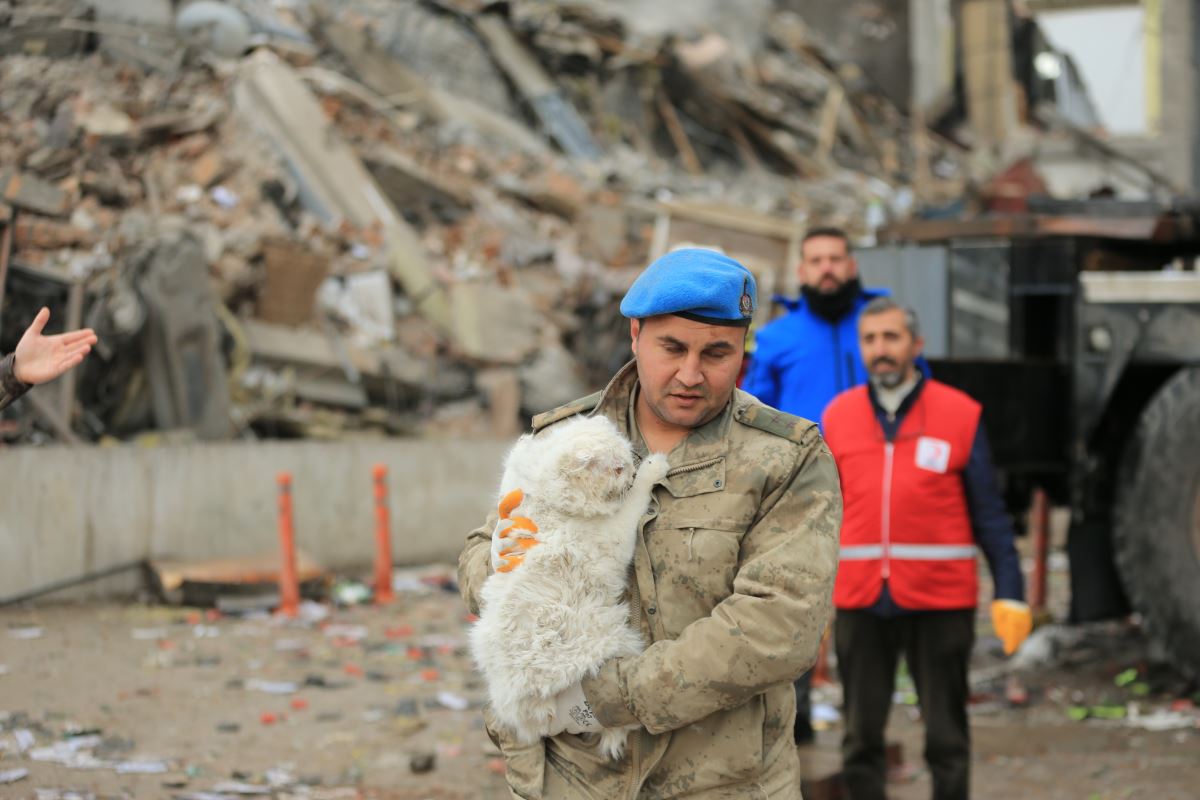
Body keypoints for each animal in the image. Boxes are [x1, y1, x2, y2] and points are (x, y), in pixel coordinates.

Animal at [468, 417, 672, 762]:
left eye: (626, 460)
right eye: (618, 469)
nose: (631, 471)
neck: (549, 498)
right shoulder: (612, 539)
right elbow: (633, 504)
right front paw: (652, 468)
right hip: (612, 645)